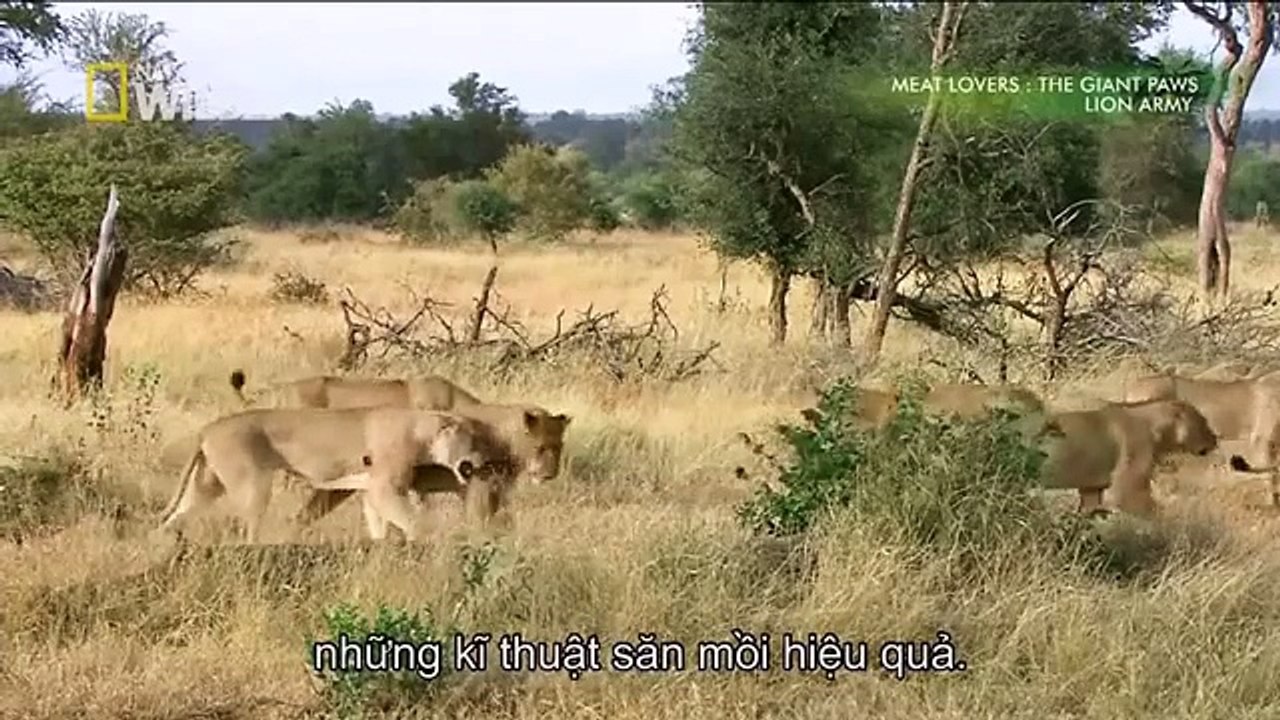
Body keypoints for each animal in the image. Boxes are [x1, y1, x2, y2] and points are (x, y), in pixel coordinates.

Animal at [155, 407, 511, 543]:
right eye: (474, 440)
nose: (485, 459)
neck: (423, 430)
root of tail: (207, 428)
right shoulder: (384, 487)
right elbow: (412, 521)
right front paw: (422, 540)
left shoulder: (371, 491)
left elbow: (378, 524)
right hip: (252, 484)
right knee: (249, 529)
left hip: (207, 484)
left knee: (174, 517)